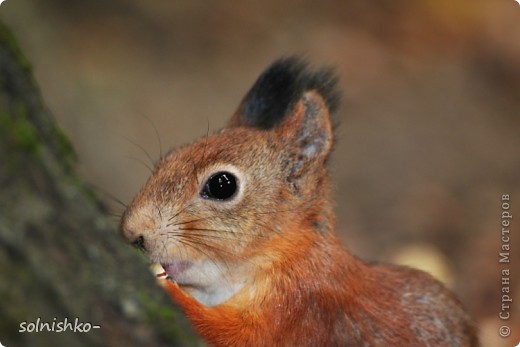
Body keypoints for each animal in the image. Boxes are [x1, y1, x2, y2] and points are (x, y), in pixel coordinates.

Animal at [120, 57, 478, 347]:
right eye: (168, 158)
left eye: (222, 185)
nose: (132, 233)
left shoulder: (300, 309)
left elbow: (237, 336)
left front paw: (166, 289)